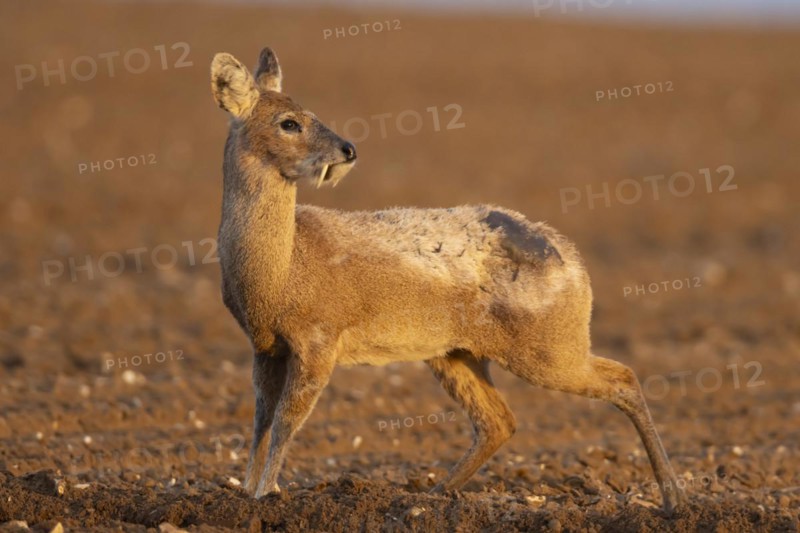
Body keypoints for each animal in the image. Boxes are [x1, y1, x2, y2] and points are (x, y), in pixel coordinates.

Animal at [210, 46, 685, 514]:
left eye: (310, 113)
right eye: (289, 122)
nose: (348, 149)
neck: (280, 272)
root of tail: (572, 259)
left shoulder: (319, 339)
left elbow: (287, 422)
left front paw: (266, 495)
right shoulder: (265, 346)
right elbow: (261, 421)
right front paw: (245, 493)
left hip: (547, 348)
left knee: (623, 378)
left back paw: (673, 498)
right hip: (454, 352)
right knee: (499, 421)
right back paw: (432, 494)